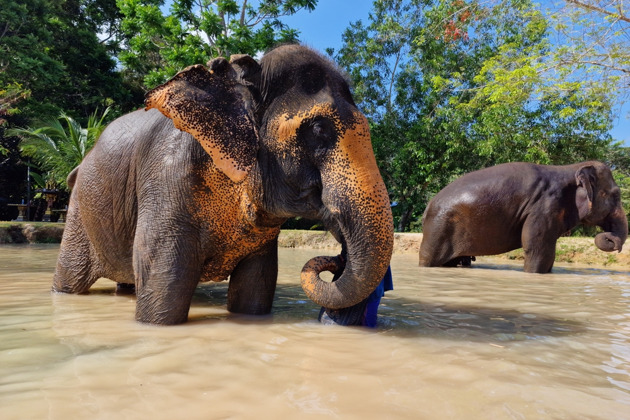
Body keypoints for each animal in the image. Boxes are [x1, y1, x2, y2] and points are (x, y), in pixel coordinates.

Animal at [56, 44, 398, 324]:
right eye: (318, 129)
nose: (338, 256)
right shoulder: (166, 182)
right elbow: (162, 291)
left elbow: (254, 289)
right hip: (78, 215)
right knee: (69, 278)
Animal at [420, 160, 628, 272]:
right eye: (616, 195)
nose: (612, 241)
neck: (571, 168)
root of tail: (428, 204)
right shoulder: (544, 206)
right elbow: (537, 248)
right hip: (438, 228)